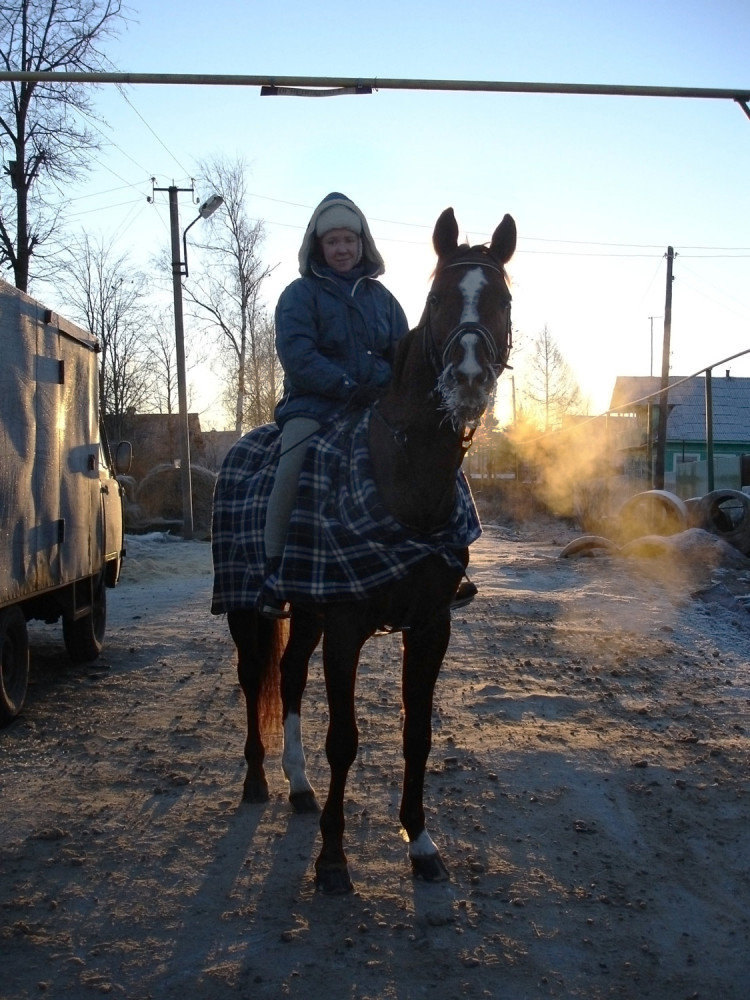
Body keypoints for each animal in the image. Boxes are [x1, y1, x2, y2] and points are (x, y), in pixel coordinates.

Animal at [223, 207, 516, 896]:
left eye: (503, 300)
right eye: (436, 300)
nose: (468, 380)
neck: (402, 477)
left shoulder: (430, 626)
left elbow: (417, 735)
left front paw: (422, 842)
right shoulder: (347, 627)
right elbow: (345, 740)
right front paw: (333, 859)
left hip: (306, 615)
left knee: (289, 677)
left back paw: (299, 787)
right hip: (246, 610)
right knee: (254, 679)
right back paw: (258, 780)